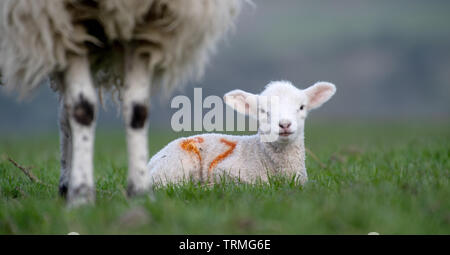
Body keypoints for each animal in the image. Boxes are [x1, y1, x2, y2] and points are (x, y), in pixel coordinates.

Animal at [0, 0, 243, 206]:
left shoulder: (145, 25)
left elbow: (137, 110)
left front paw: (140, 193)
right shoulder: (61, 21)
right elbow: (83, 108)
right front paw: (82, 195)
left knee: (64, 112)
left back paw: (66, 184)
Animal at [146, 80, 336, 186]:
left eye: (302, 107)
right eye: (262, 111)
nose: (284, 124)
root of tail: (150, 163)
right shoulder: (226, 171)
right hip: (172, 168)